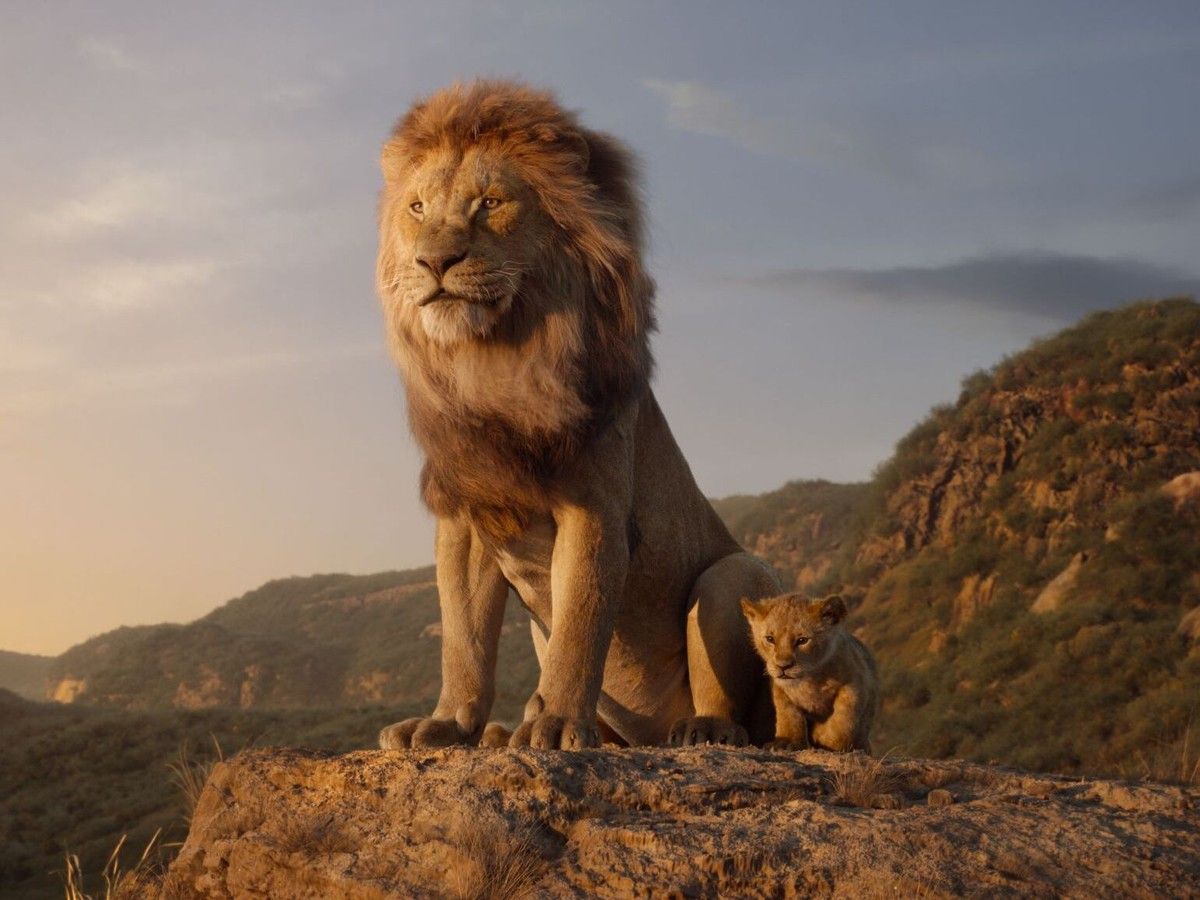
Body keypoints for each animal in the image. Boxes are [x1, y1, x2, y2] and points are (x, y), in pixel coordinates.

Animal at [374, 80, 780, 750]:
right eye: (417, 208)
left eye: (490, 203)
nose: (434, 262)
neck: (495, 362)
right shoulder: (467, 513)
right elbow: (464, 638)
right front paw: (448, 723)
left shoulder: (594, 507)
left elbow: (580, 625)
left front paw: (559, 723)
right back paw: (503, 732)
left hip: (734, 574)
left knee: (737, 708)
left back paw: (700, 729)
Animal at [740, 593, 878, 753]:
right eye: (770, 639)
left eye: (802, 640)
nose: (783, 666)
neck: (809, 679)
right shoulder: (780, 689)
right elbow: (788, 715)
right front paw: (786, 742)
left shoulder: (855, 683)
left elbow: (843, 719)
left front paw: (826, 738)